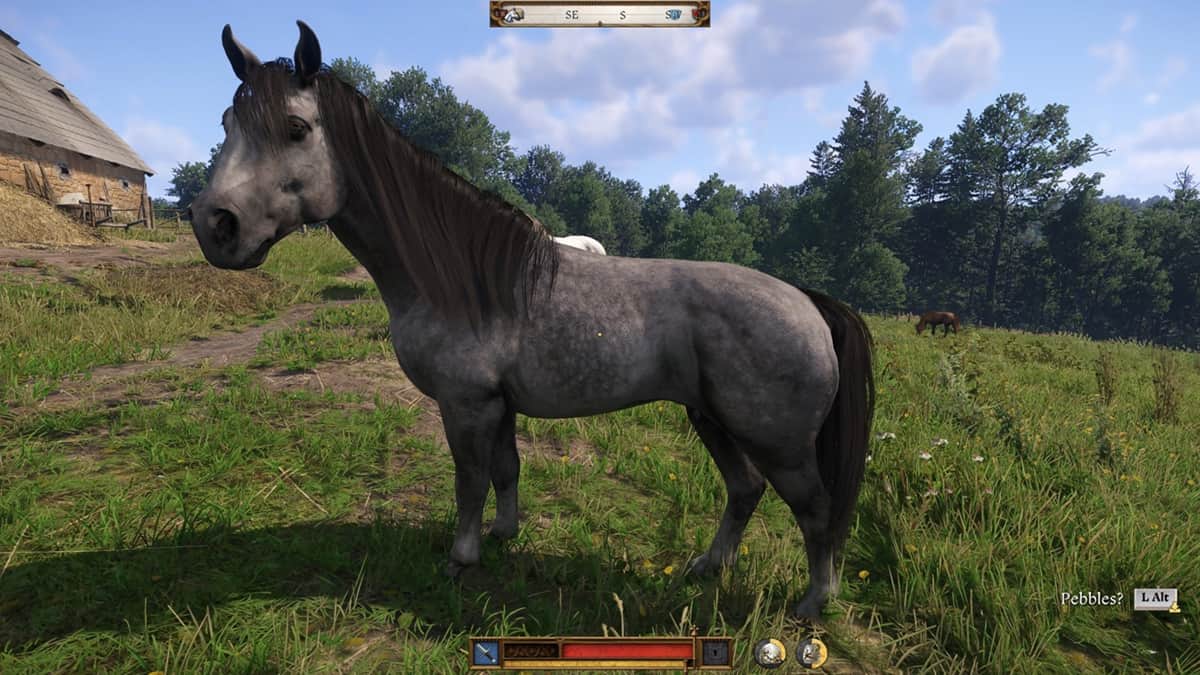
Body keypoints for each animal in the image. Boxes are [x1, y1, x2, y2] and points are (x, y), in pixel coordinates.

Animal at [188, 21, 874, 619]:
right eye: (226, 122)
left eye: (296, 127)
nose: (215, 225)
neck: (463, 277)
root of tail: (809, 303)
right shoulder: (500, 404)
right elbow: (506, 470)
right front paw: (503, 533)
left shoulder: (466, 403)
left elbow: (469, 479)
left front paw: (461, 559)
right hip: (711, 420)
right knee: (745, 489)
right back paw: (708, 567)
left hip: (778, 442)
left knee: (815, 510)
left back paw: (813, 604)